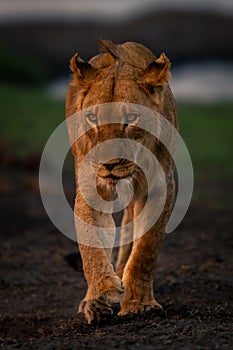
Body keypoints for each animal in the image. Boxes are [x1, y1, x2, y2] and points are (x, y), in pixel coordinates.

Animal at [64, 40, 177, 322]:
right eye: (92, 118)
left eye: (132, 118)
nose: (109, 164)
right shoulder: (90, 188)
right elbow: (91, 246)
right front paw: (103, 290)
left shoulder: (161, 188)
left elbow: (146, 249)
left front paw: (139, 303)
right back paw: (94, 300)